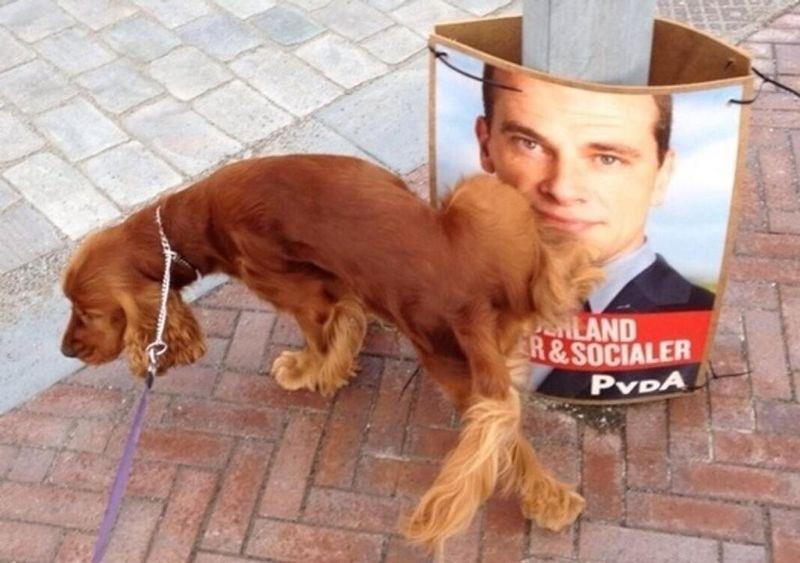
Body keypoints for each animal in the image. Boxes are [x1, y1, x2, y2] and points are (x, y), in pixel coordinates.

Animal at [60, 154, 600, 550]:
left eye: (87, 312)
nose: (66, 350)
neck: (193, 223)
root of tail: (466, 302)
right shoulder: (334, 282)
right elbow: (350, 315)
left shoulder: (303, 295)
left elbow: (322, 337)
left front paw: (308, 371)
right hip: (470, 303)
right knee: (509, 414)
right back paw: (552, 499)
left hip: (477, 206)